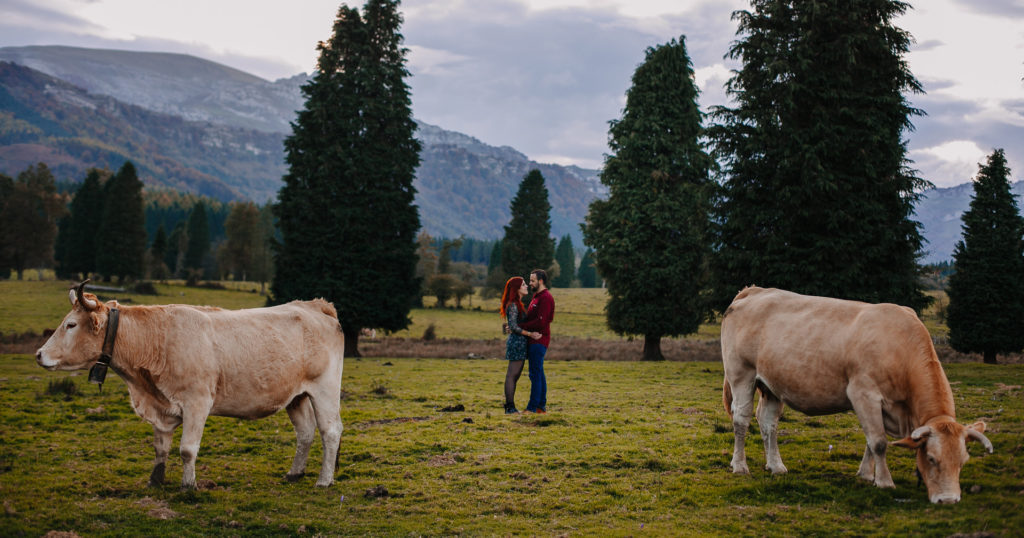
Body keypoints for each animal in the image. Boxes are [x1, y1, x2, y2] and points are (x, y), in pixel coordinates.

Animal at [37, 282, 346, 487]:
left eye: (71, 325)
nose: (39, 354)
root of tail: (315, 305)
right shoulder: (161, 406)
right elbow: (161, 447)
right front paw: (156, 480)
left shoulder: (197, 402)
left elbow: (187, 449)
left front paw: (188, 486)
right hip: (296, 396)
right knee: (305, 433)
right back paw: (294, 473)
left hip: (325, 390)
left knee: (330, 431)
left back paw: (324, 480)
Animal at [720, 286, 991, 502]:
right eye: (932, 458)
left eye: (963, 461)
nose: (949, 500)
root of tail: (755, 290)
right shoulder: (863, 393)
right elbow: (878, 442)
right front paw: (884, 482)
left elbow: (871, 440)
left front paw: (865, 475)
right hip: (741, 374)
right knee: (741, 419)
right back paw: (740, 466)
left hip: (772, 385)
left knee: (767, 421)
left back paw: (775, 466)